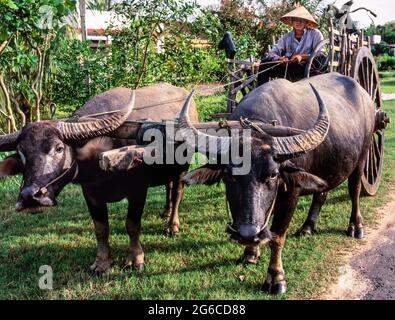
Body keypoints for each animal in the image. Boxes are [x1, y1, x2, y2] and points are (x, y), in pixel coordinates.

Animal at [0, 84, 198, 274]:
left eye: (59, 148)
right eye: (21, 154)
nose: (30, 197)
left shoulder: (138, 190)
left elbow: (132, 225)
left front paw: (135, 259)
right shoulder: (91, 194)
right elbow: (101, 229)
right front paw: (102, 263)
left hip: (183, 166)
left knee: (177, 192)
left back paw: (172, 225)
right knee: (168, 186)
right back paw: (165, 211)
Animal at [179, 73, 378, 296]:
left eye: (273, 175)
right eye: (229, 176)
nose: (247, 233)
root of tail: (364, 95)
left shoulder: (290, 194)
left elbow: (277, 236)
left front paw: (276, 278)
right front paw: (250, 253)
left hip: (362, 156)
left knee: (355, 190)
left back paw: (356, 227)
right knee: (321, 192)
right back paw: (308, 227)